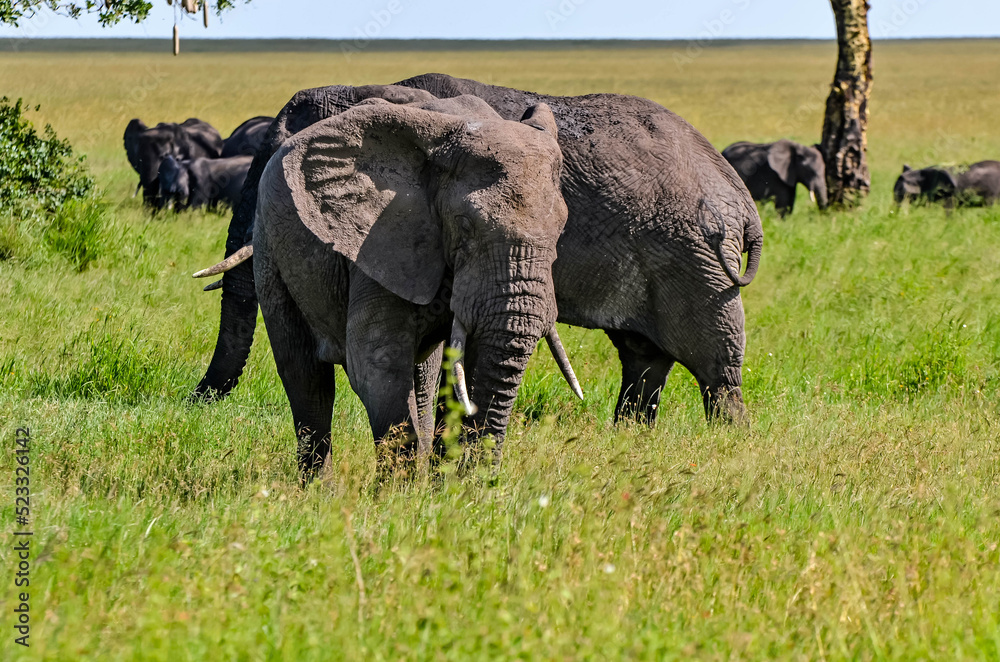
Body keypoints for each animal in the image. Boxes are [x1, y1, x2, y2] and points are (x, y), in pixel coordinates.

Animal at [192, 74, 763, 434]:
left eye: (276, 152)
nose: (195, 403)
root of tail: (742, 200)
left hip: (696, 258)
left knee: (714, 365)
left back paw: (726, 445)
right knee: (645, 358)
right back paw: (630, 440)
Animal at [240, 95, 570, 475]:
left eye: (562, 228)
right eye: (465, 225)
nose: (480, 482)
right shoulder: (378, 239)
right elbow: (376, 364)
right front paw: (402, 489)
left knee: (422, 376)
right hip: (270, 247)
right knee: (306, 377)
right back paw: (320, 486)